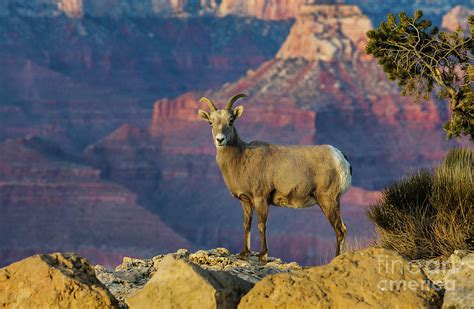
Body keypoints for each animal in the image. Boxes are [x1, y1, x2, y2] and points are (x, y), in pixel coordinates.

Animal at [197, 93, 352, 262]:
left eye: (231, 121)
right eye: (211, 123)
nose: (220, 140)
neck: (242, 158)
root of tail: (340, 157)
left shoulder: (261, 199)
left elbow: (261, 225)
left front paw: (263, 255)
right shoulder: (246, 202)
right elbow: (246, 225)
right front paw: (244, 253)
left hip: (328, 200)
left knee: (339, 229)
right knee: (342, 228)